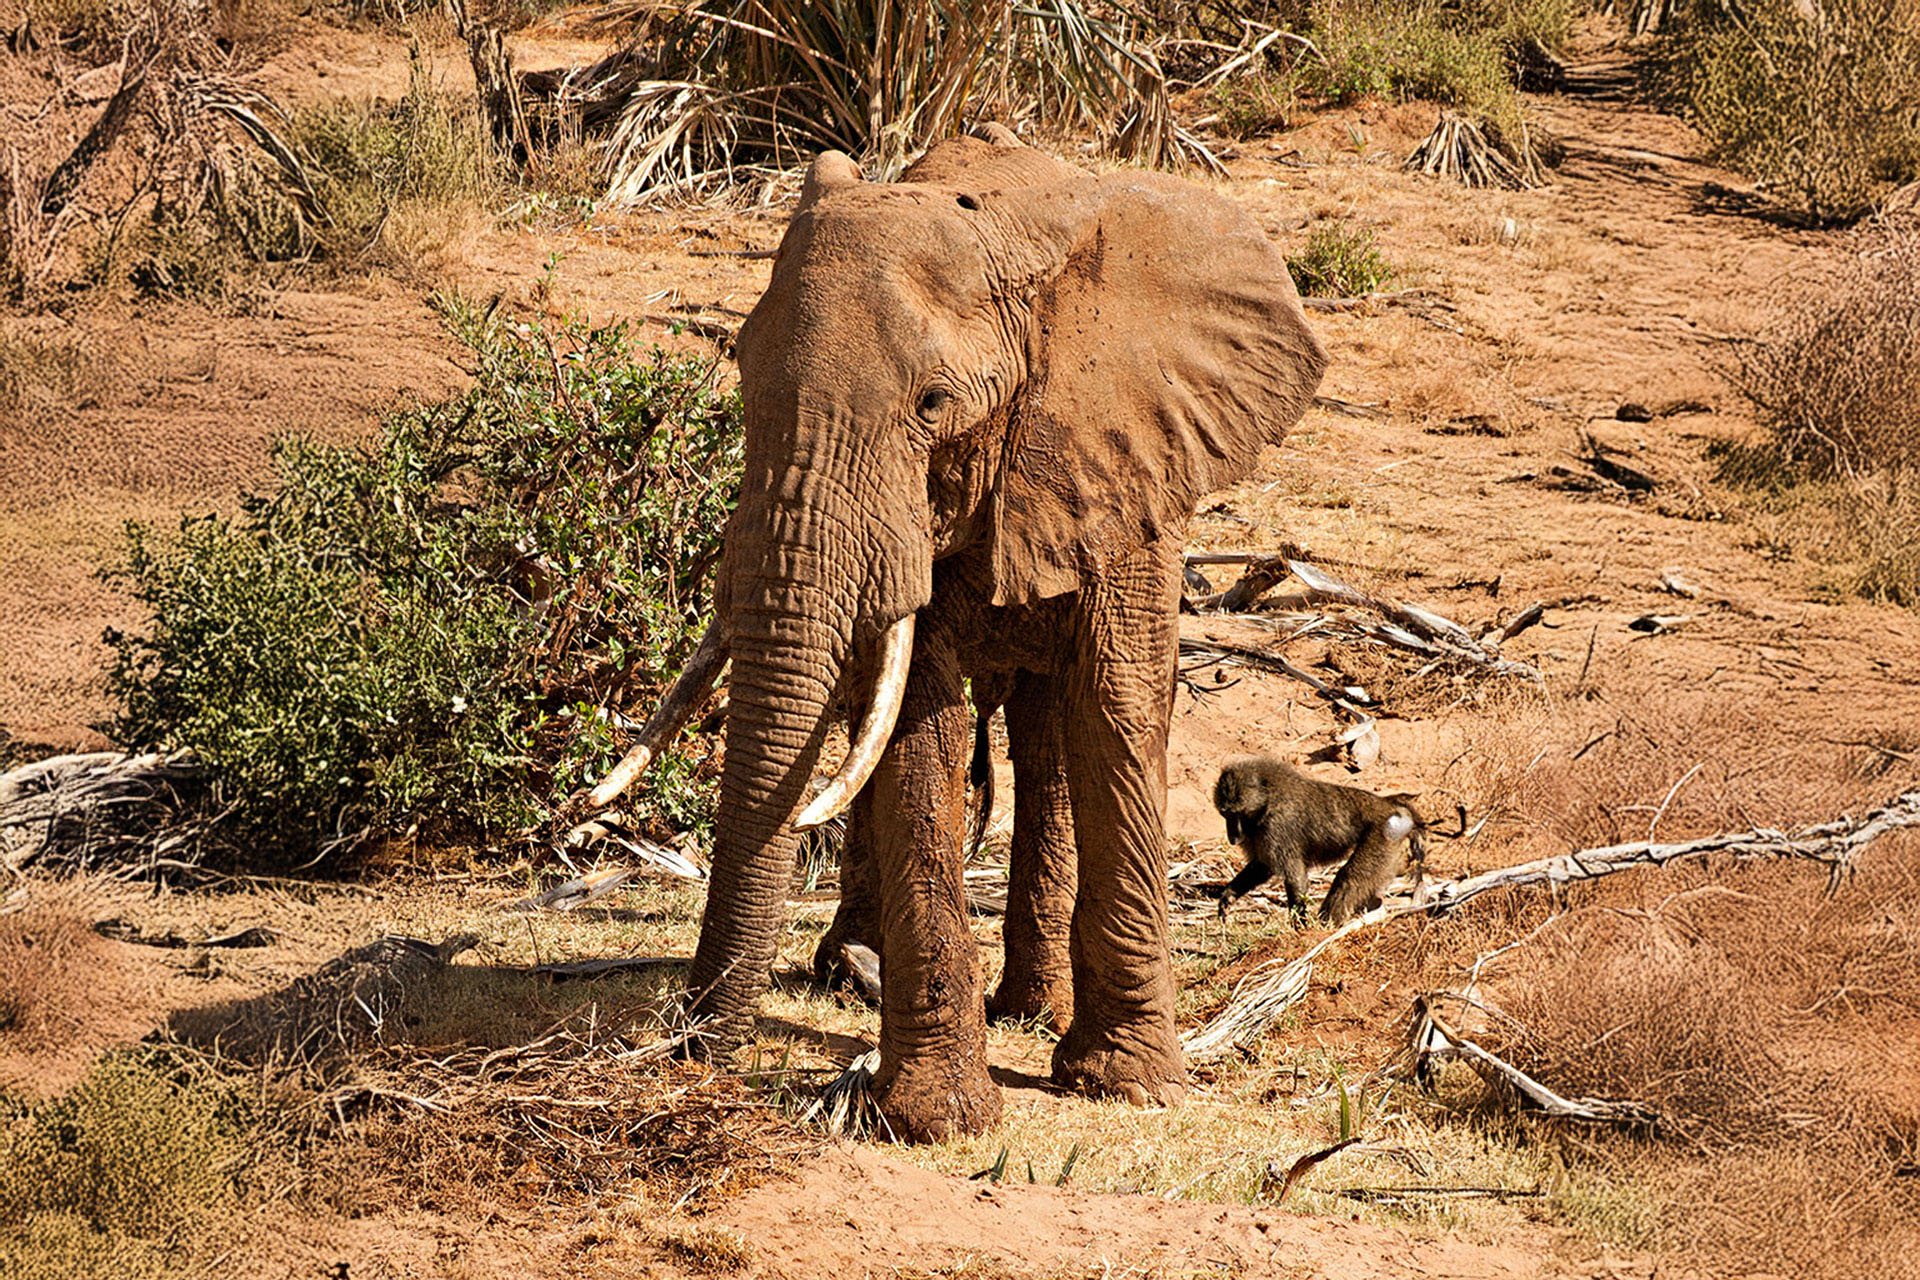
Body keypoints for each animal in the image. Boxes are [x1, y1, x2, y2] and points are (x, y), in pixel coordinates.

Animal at [592, 125, 1327, 1141]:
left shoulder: (1129, 461)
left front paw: (1130, 1086)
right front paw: (939, 1121)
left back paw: (1028, 1009)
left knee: (1049, 733)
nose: (687, 1050)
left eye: (933, 404)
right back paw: (855, 974)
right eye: (738, 364)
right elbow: (915, 732)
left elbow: (1117, 711)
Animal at [1211, 755, 1464, 926]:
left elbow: (1294, 876)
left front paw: (1300, 927)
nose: (1233, 837)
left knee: (1349, 878)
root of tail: (1389, 805)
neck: (1267, 799)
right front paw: (1228, 897)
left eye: (1237, 814)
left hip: (1382, 836)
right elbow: (1262, 867)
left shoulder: (1277, 827)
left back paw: (1326, 926)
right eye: (1225, 814)